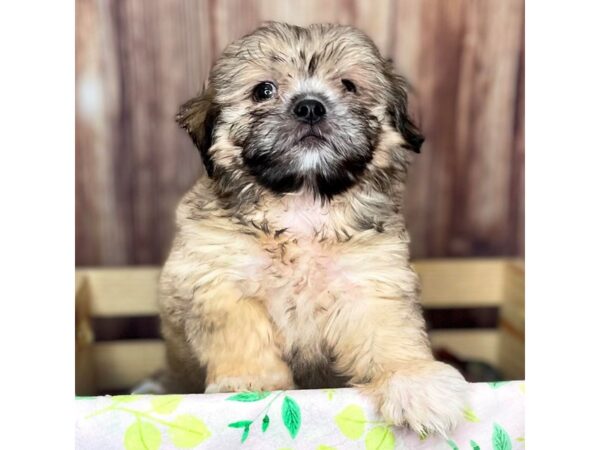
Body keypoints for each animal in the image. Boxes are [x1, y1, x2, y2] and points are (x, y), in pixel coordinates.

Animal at [159, 22, 468, 436]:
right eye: (264, 90)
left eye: (349, 86)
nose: (309, 106)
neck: (302, 202)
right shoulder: (219, 281)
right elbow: (241, 333)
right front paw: (252, 382)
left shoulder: (370, 282)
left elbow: (390, 336)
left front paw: (416, 383)